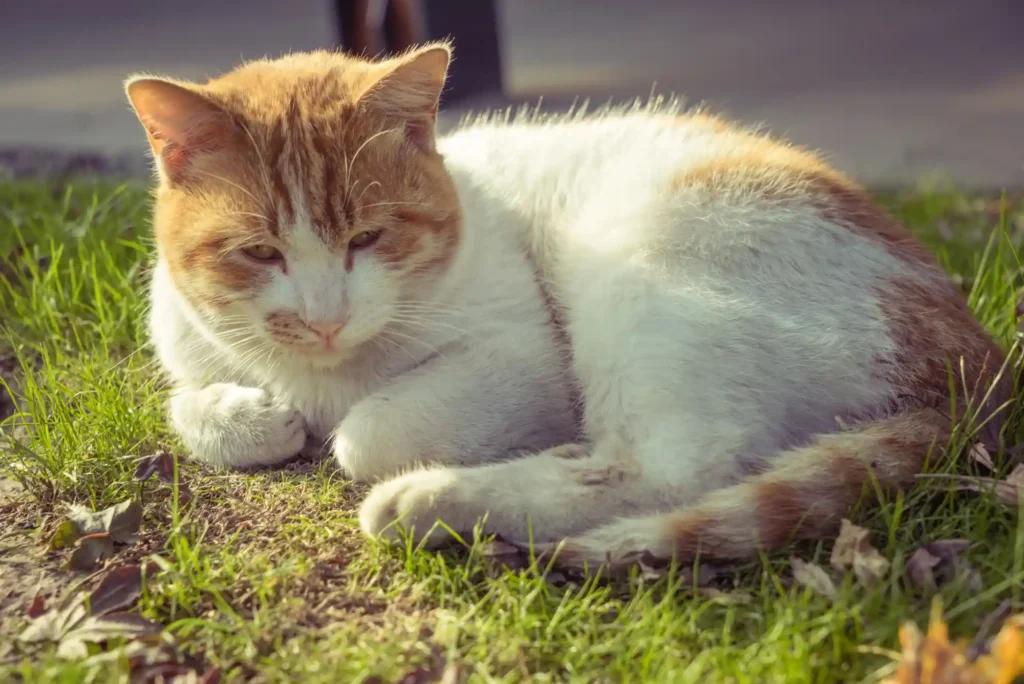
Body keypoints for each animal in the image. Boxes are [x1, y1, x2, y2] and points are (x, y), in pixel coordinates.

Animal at [125, 40, 1007, 569]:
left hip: (640, 272)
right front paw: (251, 417)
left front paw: (342, 433)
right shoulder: (185, 342)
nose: (323, 317)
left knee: (675, 469)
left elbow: (367, 435)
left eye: (369, 238)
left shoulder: (527, 360)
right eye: (260, 252)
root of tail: (980, 369)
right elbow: (185, 402)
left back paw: (435, 499)